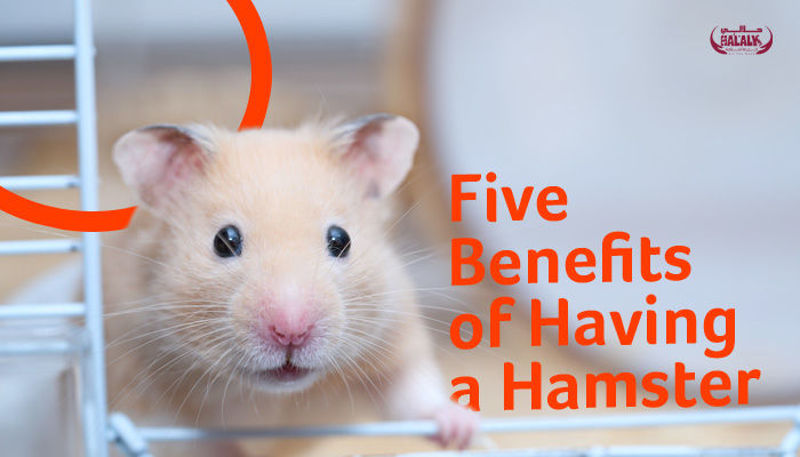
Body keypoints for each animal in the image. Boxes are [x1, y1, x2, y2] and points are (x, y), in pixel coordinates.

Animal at [103, 114, 478, 456]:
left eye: (341, 239)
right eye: (224, 241)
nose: (291, 332)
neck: (271, 396)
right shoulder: (138, 390)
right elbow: (189, 440)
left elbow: (413, 391)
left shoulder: (394, 335)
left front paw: (462, 430)